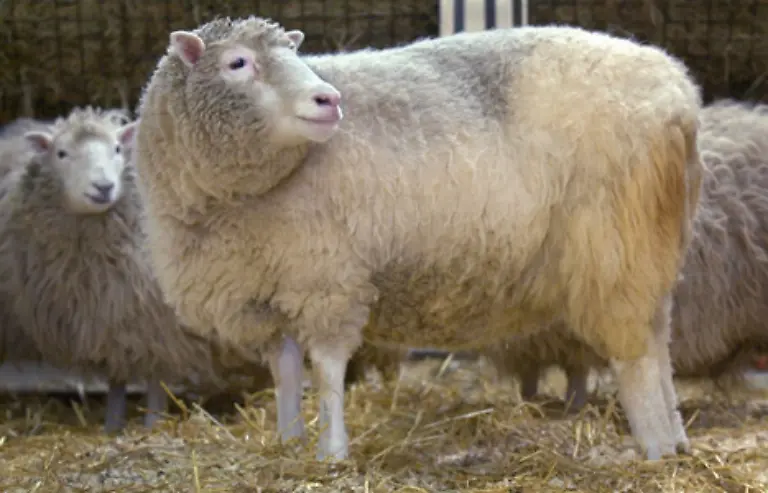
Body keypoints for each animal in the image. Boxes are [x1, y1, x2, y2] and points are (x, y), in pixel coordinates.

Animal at [132, 16, 703, 461]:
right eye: (237, 63)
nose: (329, 99)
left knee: (635, 354)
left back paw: (654, 446)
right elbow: (286, 374)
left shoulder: (329, 279)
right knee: (659, 340)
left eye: (294, 55)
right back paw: (676, 439)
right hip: (651, 241)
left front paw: (331, 452)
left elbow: (330, 372)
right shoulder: (267, 291)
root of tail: (679, 93)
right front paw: (288, 441)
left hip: (611, 242)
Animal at [487, 99, 768, 409]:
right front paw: (530, 402)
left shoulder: (568, 335)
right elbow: (530, 380)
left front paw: (572, 407)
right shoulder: (531, 343)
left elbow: (574, 376)